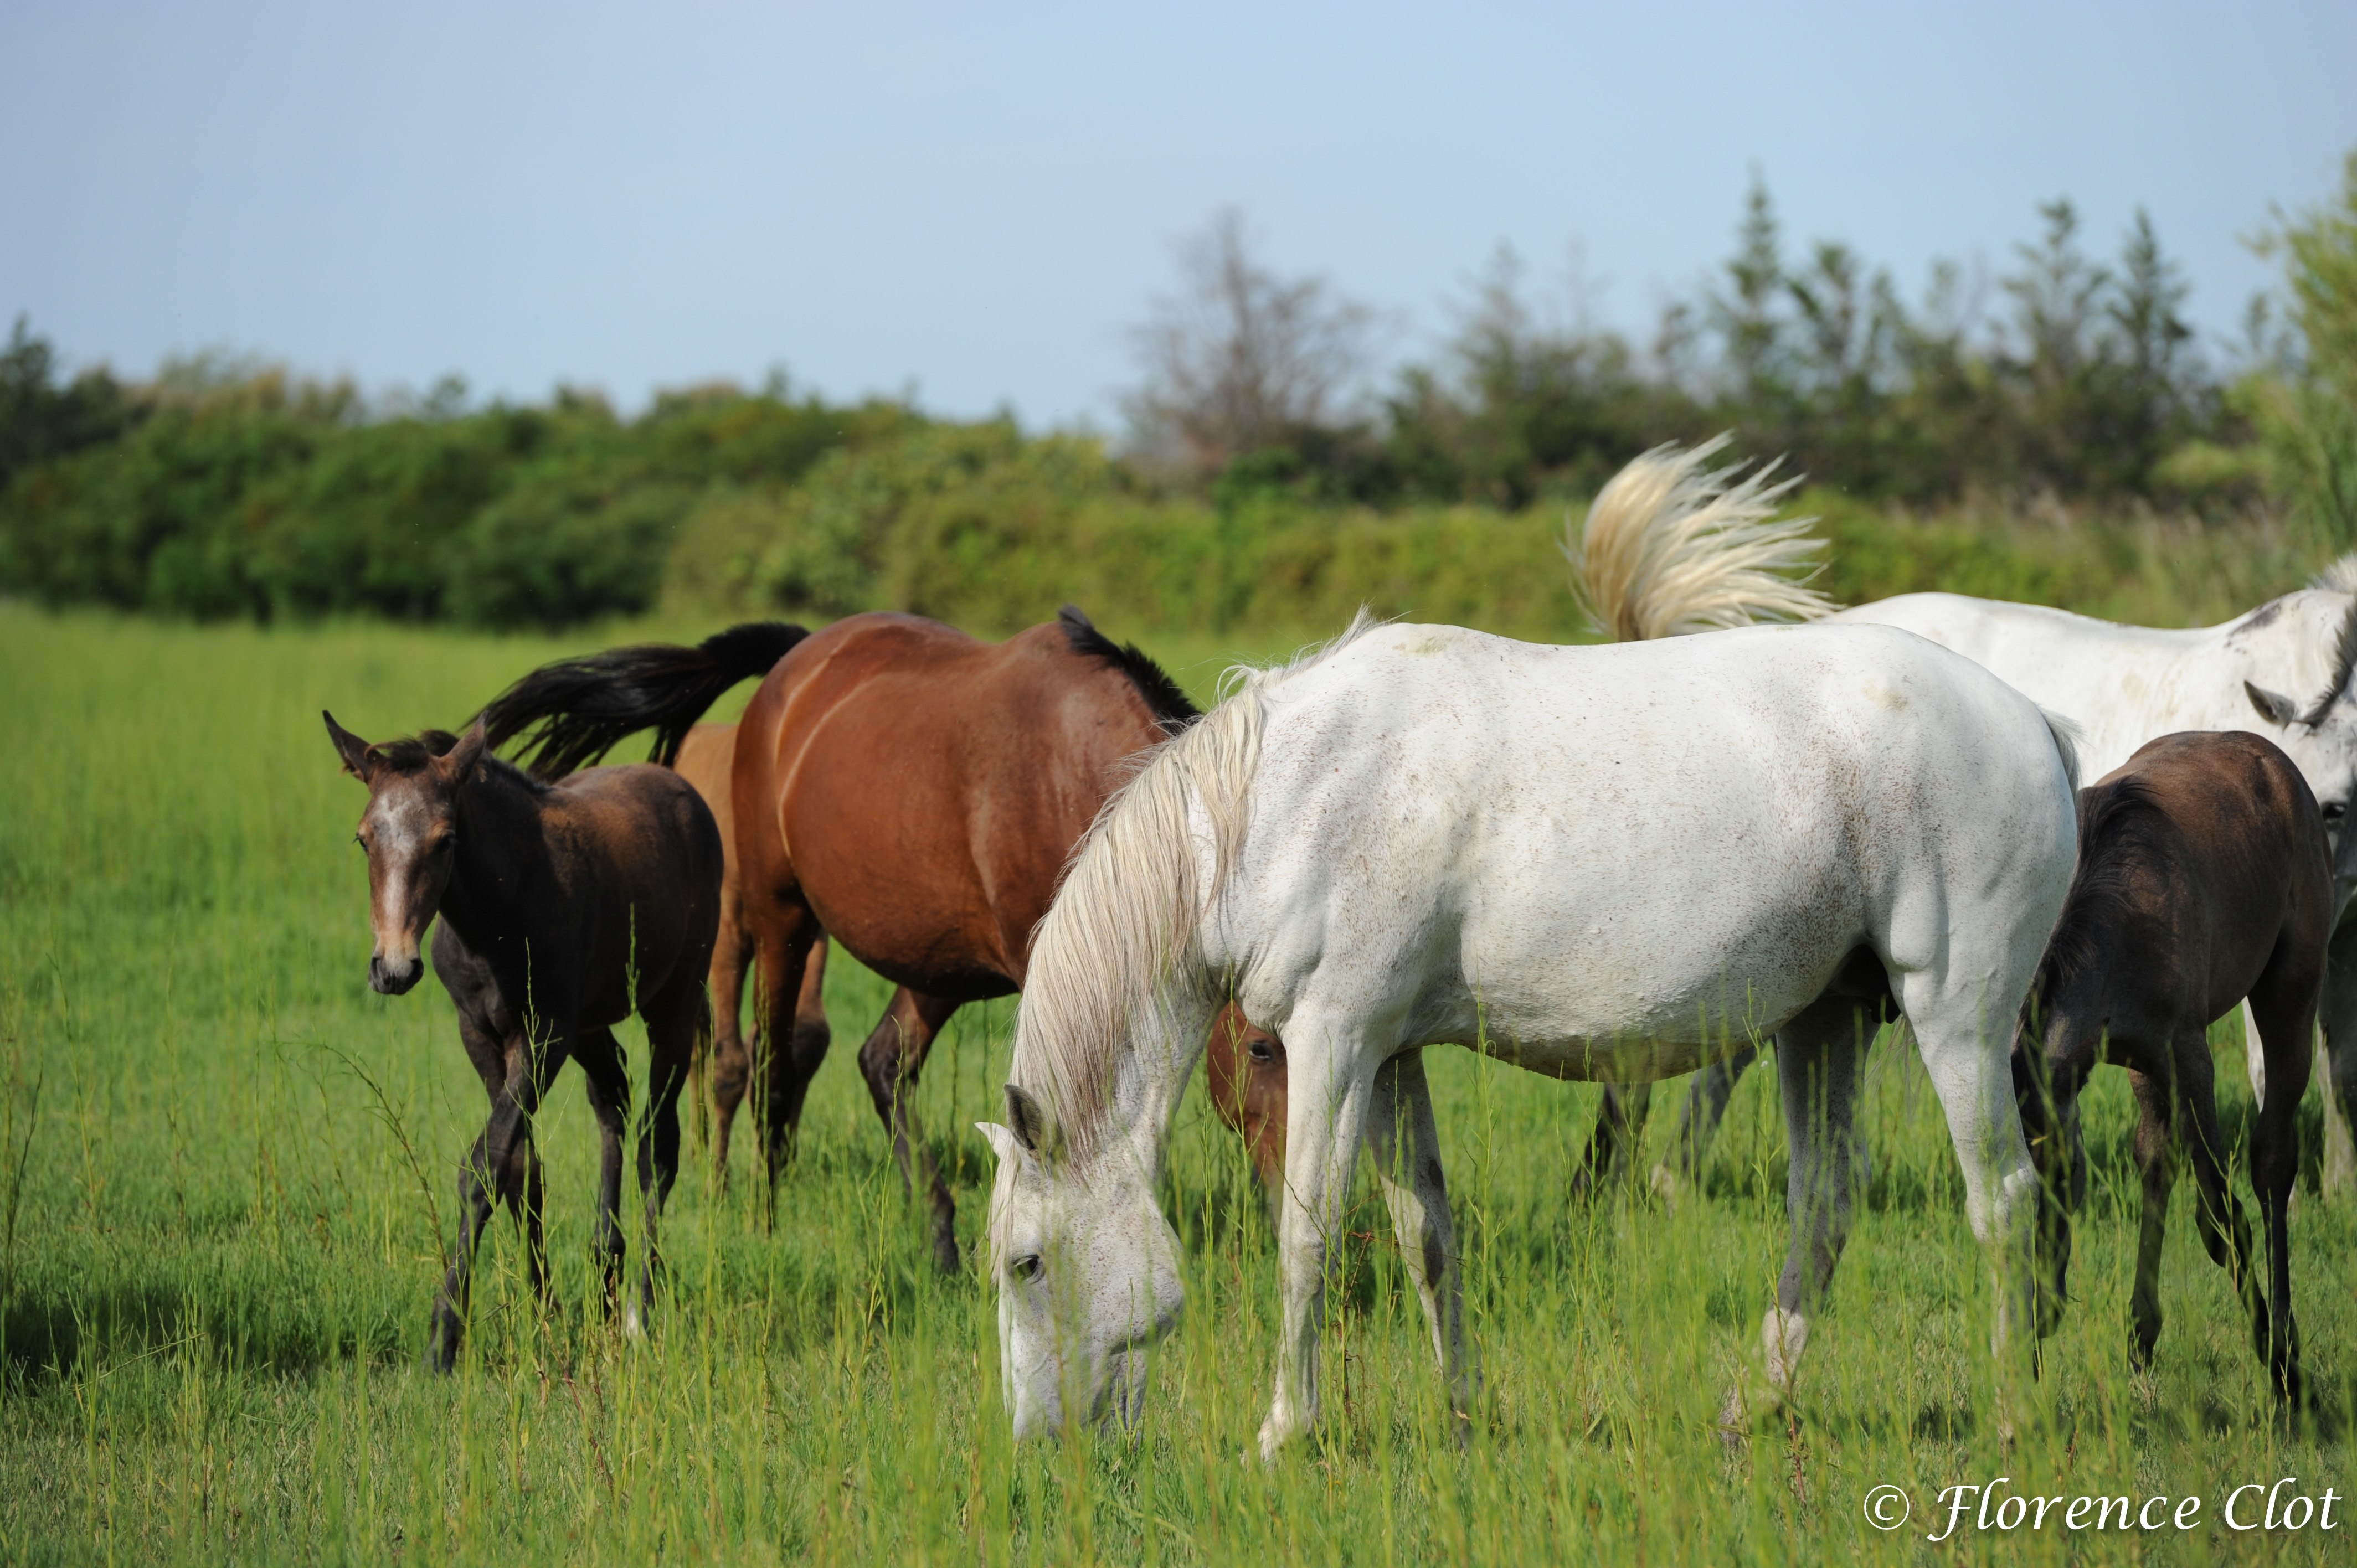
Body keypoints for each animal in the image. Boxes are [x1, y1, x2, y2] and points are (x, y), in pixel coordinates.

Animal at [323, 716, 721, 1368]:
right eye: (363, 839)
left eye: (446, 839)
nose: (394, 969)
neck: (497, 914)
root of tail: (684, 792)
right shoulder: (480, 1034)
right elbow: (520, 1170)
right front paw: (546, 1314)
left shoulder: (544, 1035)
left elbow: (485, 1165)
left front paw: (444, 1338)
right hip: (592, 1025)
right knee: (612, 1097)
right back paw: (605, 1278)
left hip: (674, 1001)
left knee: (656, 1144)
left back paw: (639, 1310)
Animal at [669, 721, 834, 1174]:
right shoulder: (727, 938)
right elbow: (727, 1061)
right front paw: (718, 1179)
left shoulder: (807, 931)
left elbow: (803, 1038)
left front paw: (777, 1156)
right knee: (699, 1037)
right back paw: (698, 1147)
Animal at [985, 613, 2074, 1452]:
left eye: (1025, 1262)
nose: (1036, 1442)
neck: (1286, 799)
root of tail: (2037, 723)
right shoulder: (1390, 1056)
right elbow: (1427, 1233)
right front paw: (1462, 1415)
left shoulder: (1333, 1041)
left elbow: (1306, 1237)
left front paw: (1283, 1432)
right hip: (1823, 1020)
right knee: (1827, 1201)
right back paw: (1757, 1405)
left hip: (1957, 1018)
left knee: (2003, 1199)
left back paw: (2012, 1417)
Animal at [2018, 726, 2328, 1396]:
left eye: (2063, 1178)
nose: (2041, 1310)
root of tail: (2271, 758)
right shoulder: (2136, 1058)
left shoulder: (2189, 1055)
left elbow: (2221, 1219)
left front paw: (2278, 1365)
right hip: (2144, 1068)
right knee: (2156, 1157)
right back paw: (2142, 1335)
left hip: (2290, 992)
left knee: (2272, 1161)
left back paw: (2286, 1346)